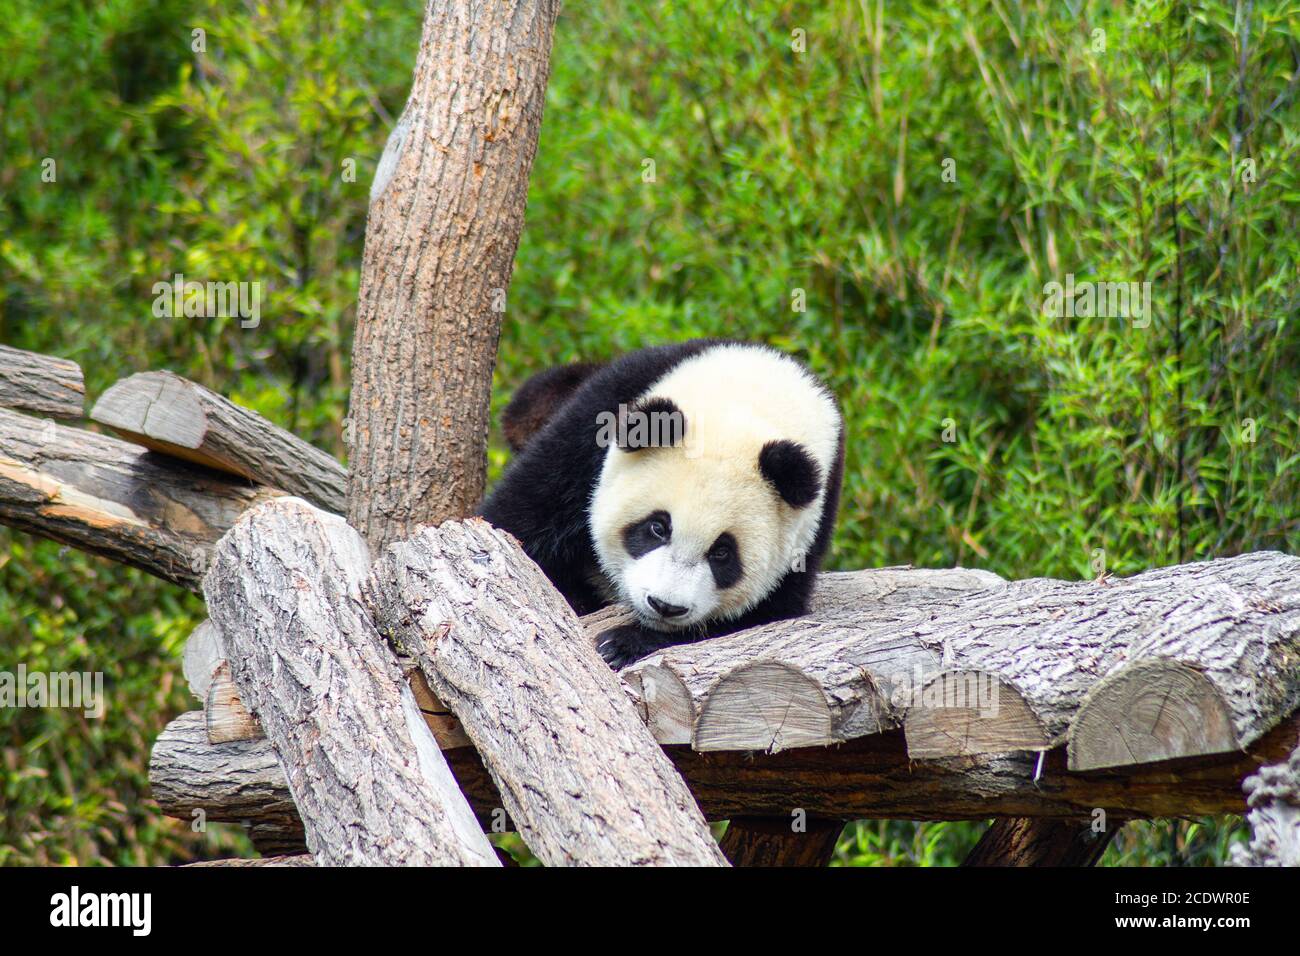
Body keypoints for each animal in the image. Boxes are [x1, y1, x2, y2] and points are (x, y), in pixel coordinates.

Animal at [478, 340, 844, 669]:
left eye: (722, 553)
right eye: (657, 527)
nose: (665, 606)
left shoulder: (811, 522)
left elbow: (762, 617)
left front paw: (622, 643)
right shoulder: (599, 417)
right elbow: (519, 524)